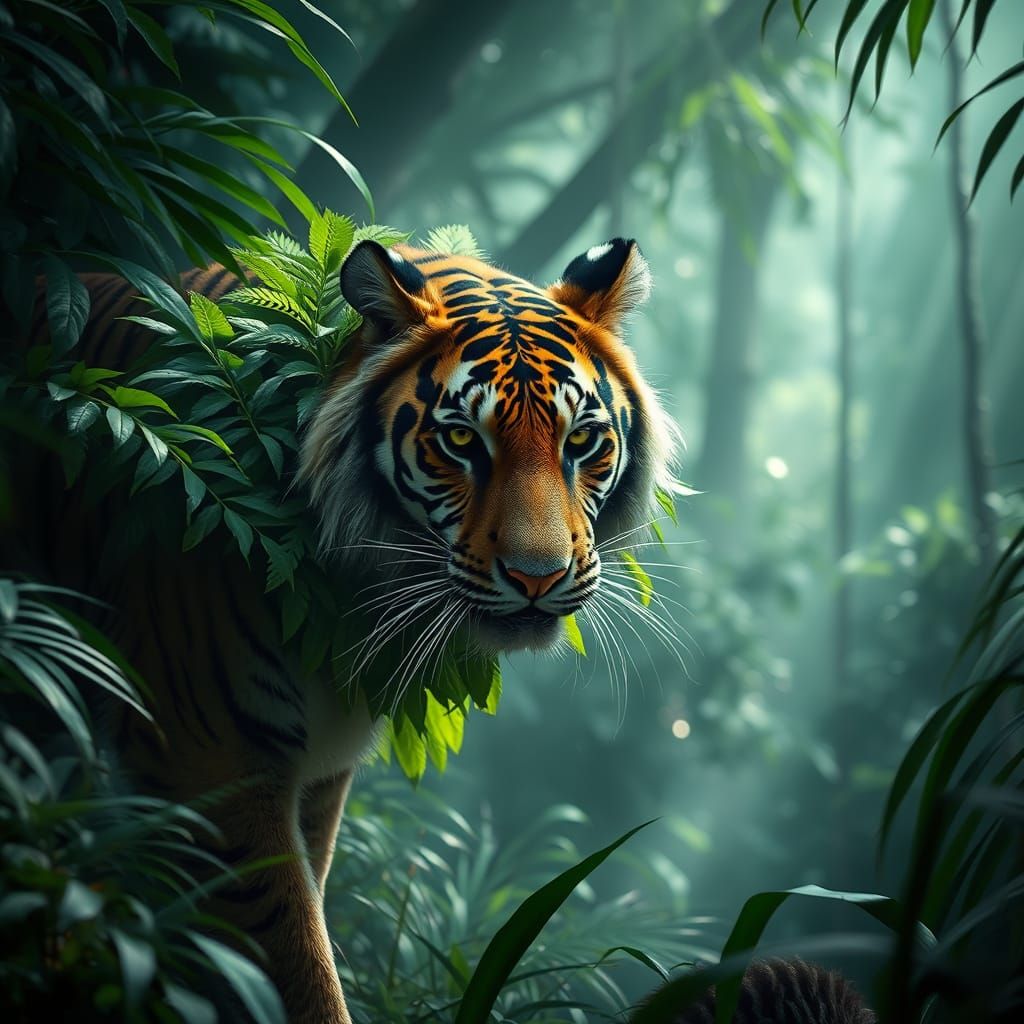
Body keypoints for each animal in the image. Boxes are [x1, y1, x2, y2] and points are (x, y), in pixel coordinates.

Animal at [5, 237, 680, 1023]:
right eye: (460, 440)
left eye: (582, 442)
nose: (537, 577)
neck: (357, 592)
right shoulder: (213, 756)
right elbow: (291, 958)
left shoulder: (320, 768)